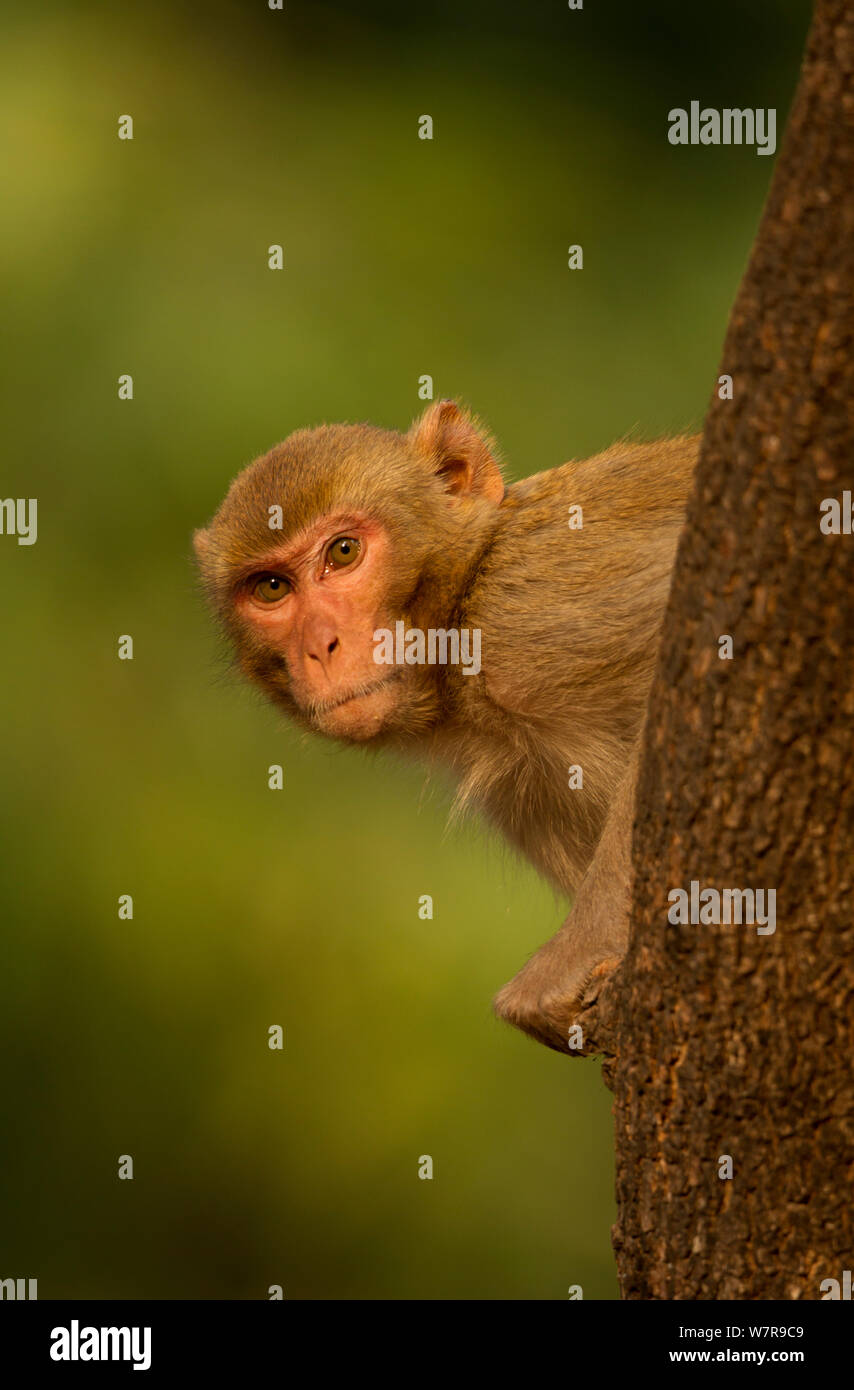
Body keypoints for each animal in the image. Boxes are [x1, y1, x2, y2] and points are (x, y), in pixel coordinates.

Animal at [196, 403, 703, 1050]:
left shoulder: (531, 611)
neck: (461, 608)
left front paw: (570, 958)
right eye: (271, 587)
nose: (320, 646)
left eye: (343, 552)